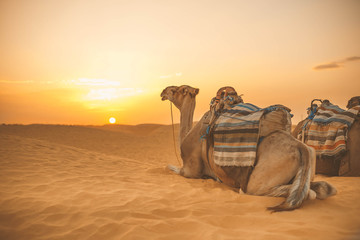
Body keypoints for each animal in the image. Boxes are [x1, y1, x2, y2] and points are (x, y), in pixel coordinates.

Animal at [160, 85, 334, 212]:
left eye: (175, 90)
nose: (163, 91)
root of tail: (301, 147)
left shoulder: (190, 171)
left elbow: (171, 167)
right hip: (308, 165)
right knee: (322, 188)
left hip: (258, 181)